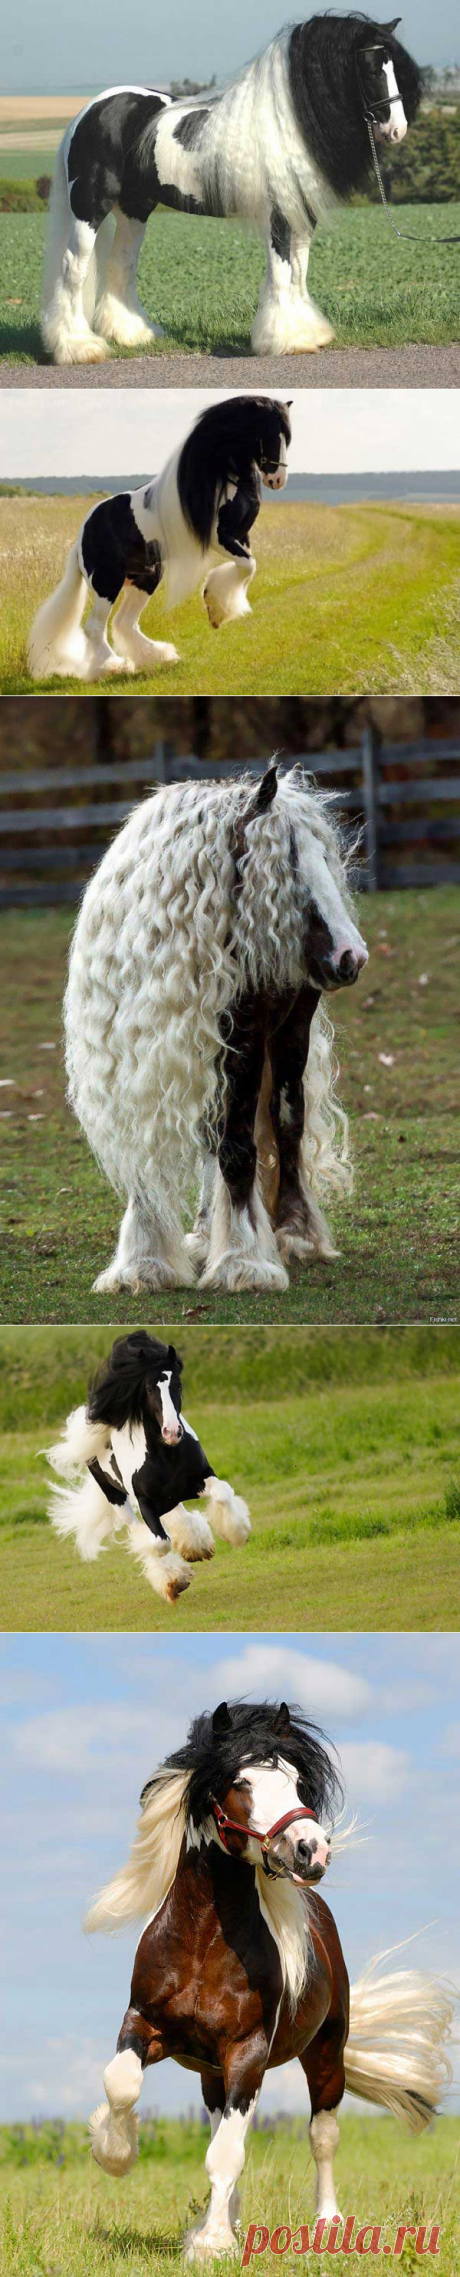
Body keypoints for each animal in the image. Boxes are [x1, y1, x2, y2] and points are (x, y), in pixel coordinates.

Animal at [26, 393, 291, 683]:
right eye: (268, 434)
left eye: (286, 436)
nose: (278, 479)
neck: (226, 479)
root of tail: (80, 540)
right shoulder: (220, 537)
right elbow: (247, 566)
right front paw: (215, 609)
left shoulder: (241, 537)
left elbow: (247, 567)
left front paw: (218, 611)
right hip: (107, 581)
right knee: (95, 627)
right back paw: (113, 666)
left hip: (146, 577)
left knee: (125, 622)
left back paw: (159, 656)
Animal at [41, 12, 421, 364]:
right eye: (372, 68)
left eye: (393, 67)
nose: (397, 130)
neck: (283, 124)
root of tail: (90, 110)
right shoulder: (279, 216)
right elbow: (282, 272)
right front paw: (284, 340)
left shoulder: (302, 215)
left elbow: (299, 271)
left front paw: (308, 332)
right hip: (90, 205)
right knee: (74, 268)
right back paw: (78, 347)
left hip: (135, 209)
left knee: (122, 263)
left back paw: (133, 334)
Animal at [64, 765, 368, 1302]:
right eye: (288, 863)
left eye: (324, 858)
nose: (350, 956)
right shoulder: (136, 1061)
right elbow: (156, 1150)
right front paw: (144, 1262)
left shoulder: (242, 1042)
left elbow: (240, 1148)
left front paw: (244, 1259)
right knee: (214, 1133)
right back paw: (208, 1232)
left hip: (288, 1034)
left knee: (286, 1123)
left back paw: (293, 1233)